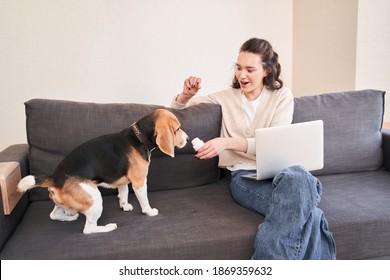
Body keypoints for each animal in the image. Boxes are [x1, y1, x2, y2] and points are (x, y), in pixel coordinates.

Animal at [17, 108, 188, 233]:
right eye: (178, 129)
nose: (187, 138)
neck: (138, 137)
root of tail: (55, 177)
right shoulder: (139, 182)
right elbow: (144, 200)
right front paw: (149, 212)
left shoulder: (122, 181)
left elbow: (123, 194)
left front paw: (124, 206)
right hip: (95, 199)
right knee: (88, 229)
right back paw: (108, 227)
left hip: (61, 202)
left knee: (54, 215)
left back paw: (71, 217)